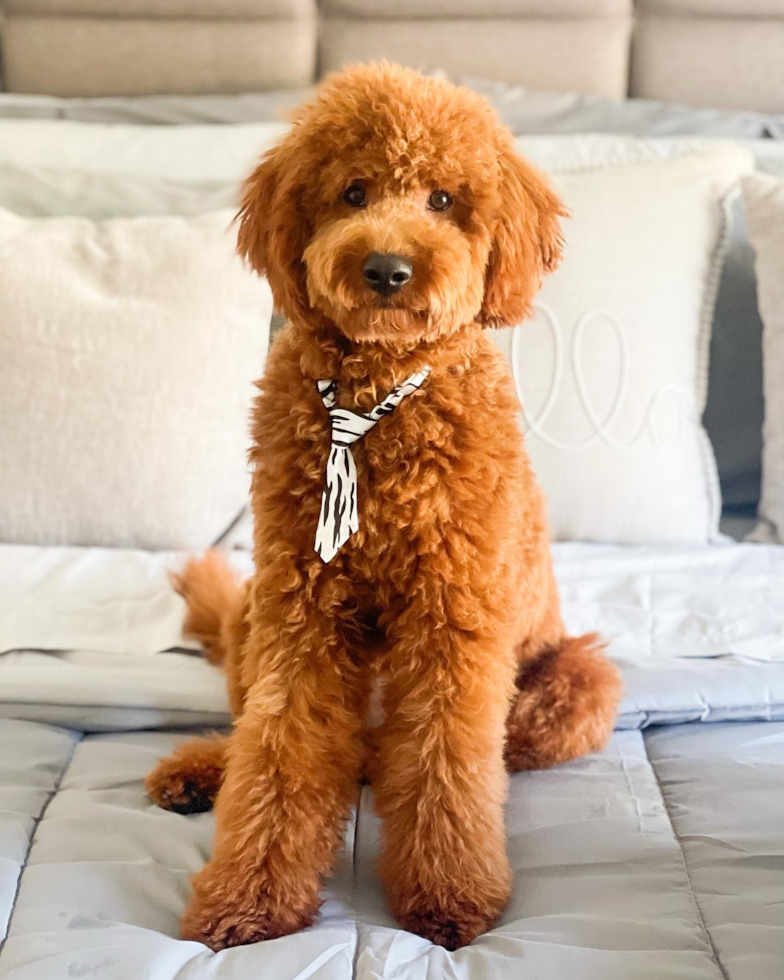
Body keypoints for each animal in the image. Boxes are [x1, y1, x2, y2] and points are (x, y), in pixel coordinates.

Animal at [145, 61, 620, 948]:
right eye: (353, 192)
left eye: (442, 199)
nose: (389, 269)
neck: (374, 402)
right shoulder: (301, 615)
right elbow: (278, 751)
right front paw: (247, 901)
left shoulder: (452, 622)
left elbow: (444, 766)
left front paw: (449, 899)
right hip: (253, 613)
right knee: (257, 733)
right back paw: (200, 771)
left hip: (574, 684)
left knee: (459, 748)